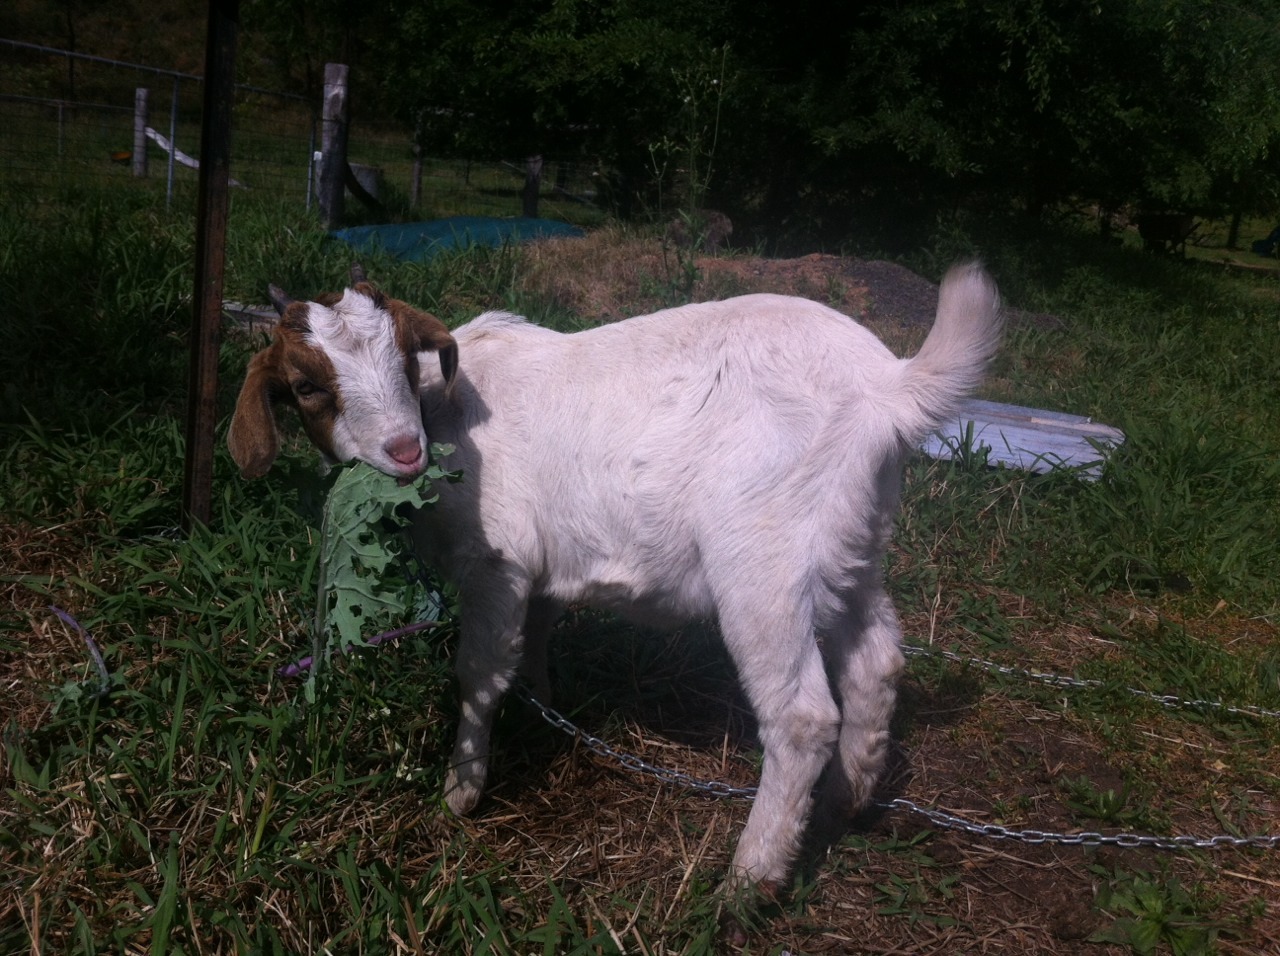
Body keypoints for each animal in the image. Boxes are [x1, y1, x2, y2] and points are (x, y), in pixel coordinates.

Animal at [232, 259, 1008, 890]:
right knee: (876, 660)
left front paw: (461, 791)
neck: (443, 414)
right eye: (305, 384)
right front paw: (545, 715)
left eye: (401, 355)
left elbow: (478, 673)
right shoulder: (541, 572)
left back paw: (749, 882)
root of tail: (888, 388)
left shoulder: (496, 562)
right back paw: (846, 802)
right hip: (849, 547)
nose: (402, 450)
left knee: (802, 717)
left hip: (765, 560)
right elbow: (535, 640)